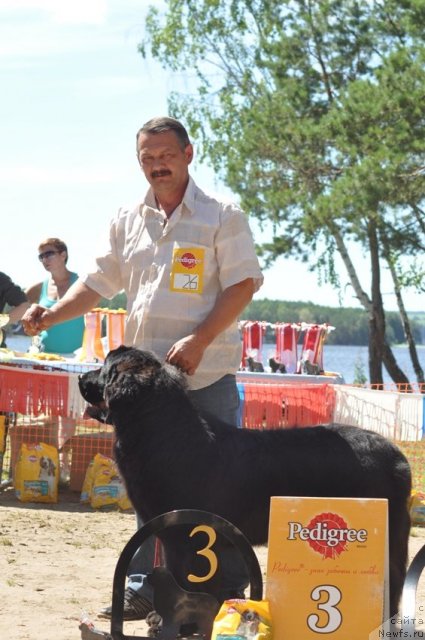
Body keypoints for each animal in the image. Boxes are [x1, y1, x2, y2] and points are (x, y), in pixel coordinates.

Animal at [78, 348, 410, 616]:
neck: (160, 431)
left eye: (104, 368)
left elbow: (186, 581)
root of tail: (398, 457)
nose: (81, 377)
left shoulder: (184, 537)